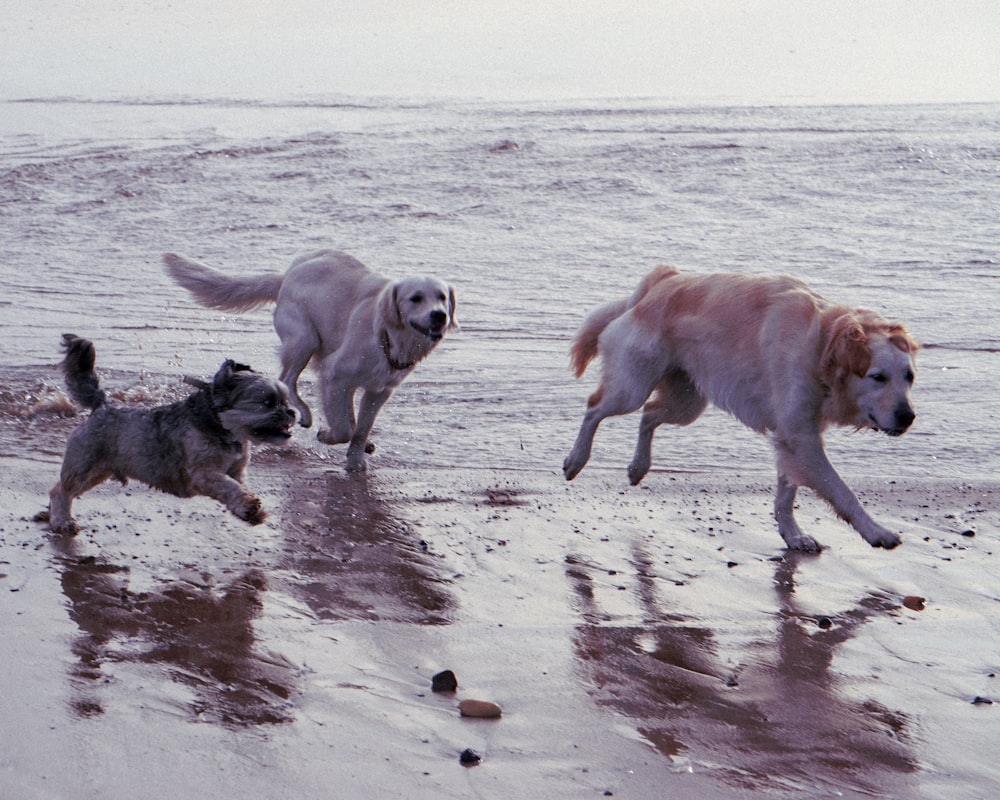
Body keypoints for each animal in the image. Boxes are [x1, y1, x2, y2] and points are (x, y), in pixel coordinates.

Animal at [44, 334, 292, 536]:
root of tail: (101, 407)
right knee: (60, 491)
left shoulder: (236, 470)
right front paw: (248, 505)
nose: (291, 412)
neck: (221, 425)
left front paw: (251, 510)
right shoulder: (203, 474)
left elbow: (238, 486)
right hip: (84, 466)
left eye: (285, 401)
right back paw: (62, 520)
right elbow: (228, 487)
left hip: (98, 471)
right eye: (268, 402)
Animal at [167, 252, 458, 468]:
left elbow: (361, 427)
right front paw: (328, 436)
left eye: (442, 297)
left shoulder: (380, 390)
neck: (387, 333)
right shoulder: (334, 374)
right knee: (287, 379)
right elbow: (342, 429)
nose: (439, 316)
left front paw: (356, 458)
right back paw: (305, 414)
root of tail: (286, 277)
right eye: (415, 298)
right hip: (304, 340)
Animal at [564, 266, 916, 552]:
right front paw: (877, 532)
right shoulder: (801, 437)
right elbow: (842, 491)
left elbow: (787, 493)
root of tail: (662, 282)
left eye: (909, 377)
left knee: (649, 414)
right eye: (878, 377)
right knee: (595, 408)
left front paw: (792, 535)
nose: (908, 417)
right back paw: (576, 459)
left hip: (687, 401)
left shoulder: (794, 436)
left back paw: (639, 467)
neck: (820, 346)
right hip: (632, 387)